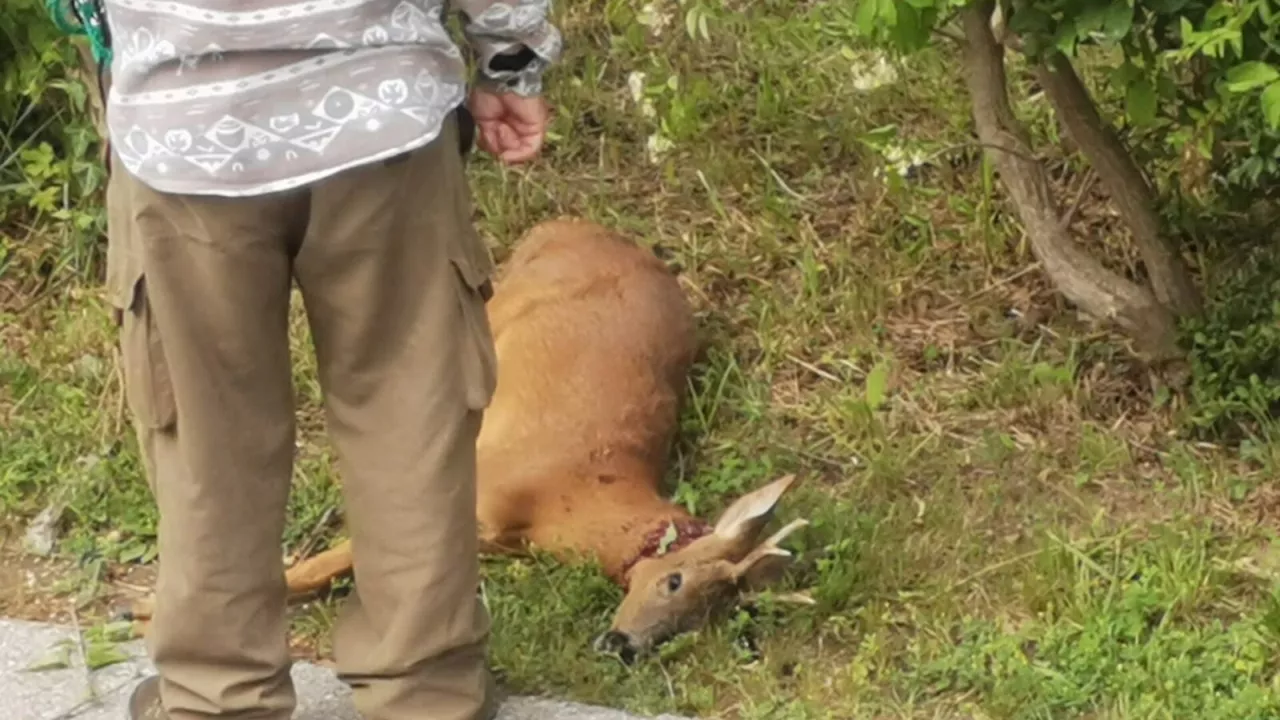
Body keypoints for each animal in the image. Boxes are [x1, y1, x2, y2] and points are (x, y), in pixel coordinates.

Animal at [127, 219, 808, 661]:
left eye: (707, 618)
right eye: (673, 581)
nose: (624, 646)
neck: (562, 498)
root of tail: (569, 225)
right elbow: (321, 564)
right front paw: (144, 614)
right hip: (492, 308)